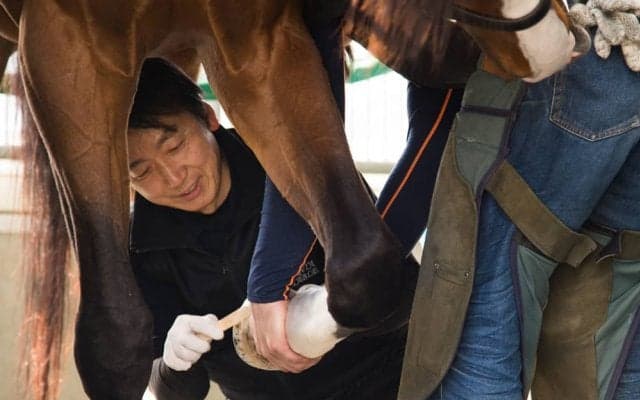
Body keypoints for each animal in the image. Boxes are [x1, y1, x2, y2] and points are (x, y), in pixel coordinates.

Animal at [1, 0, 583, 399]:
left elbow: (366, 266)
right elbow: (115, 337)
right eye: (146, 164)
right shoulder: (65, 39)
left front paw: (279, 328)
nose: (552, 44)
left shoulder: (255, 40)